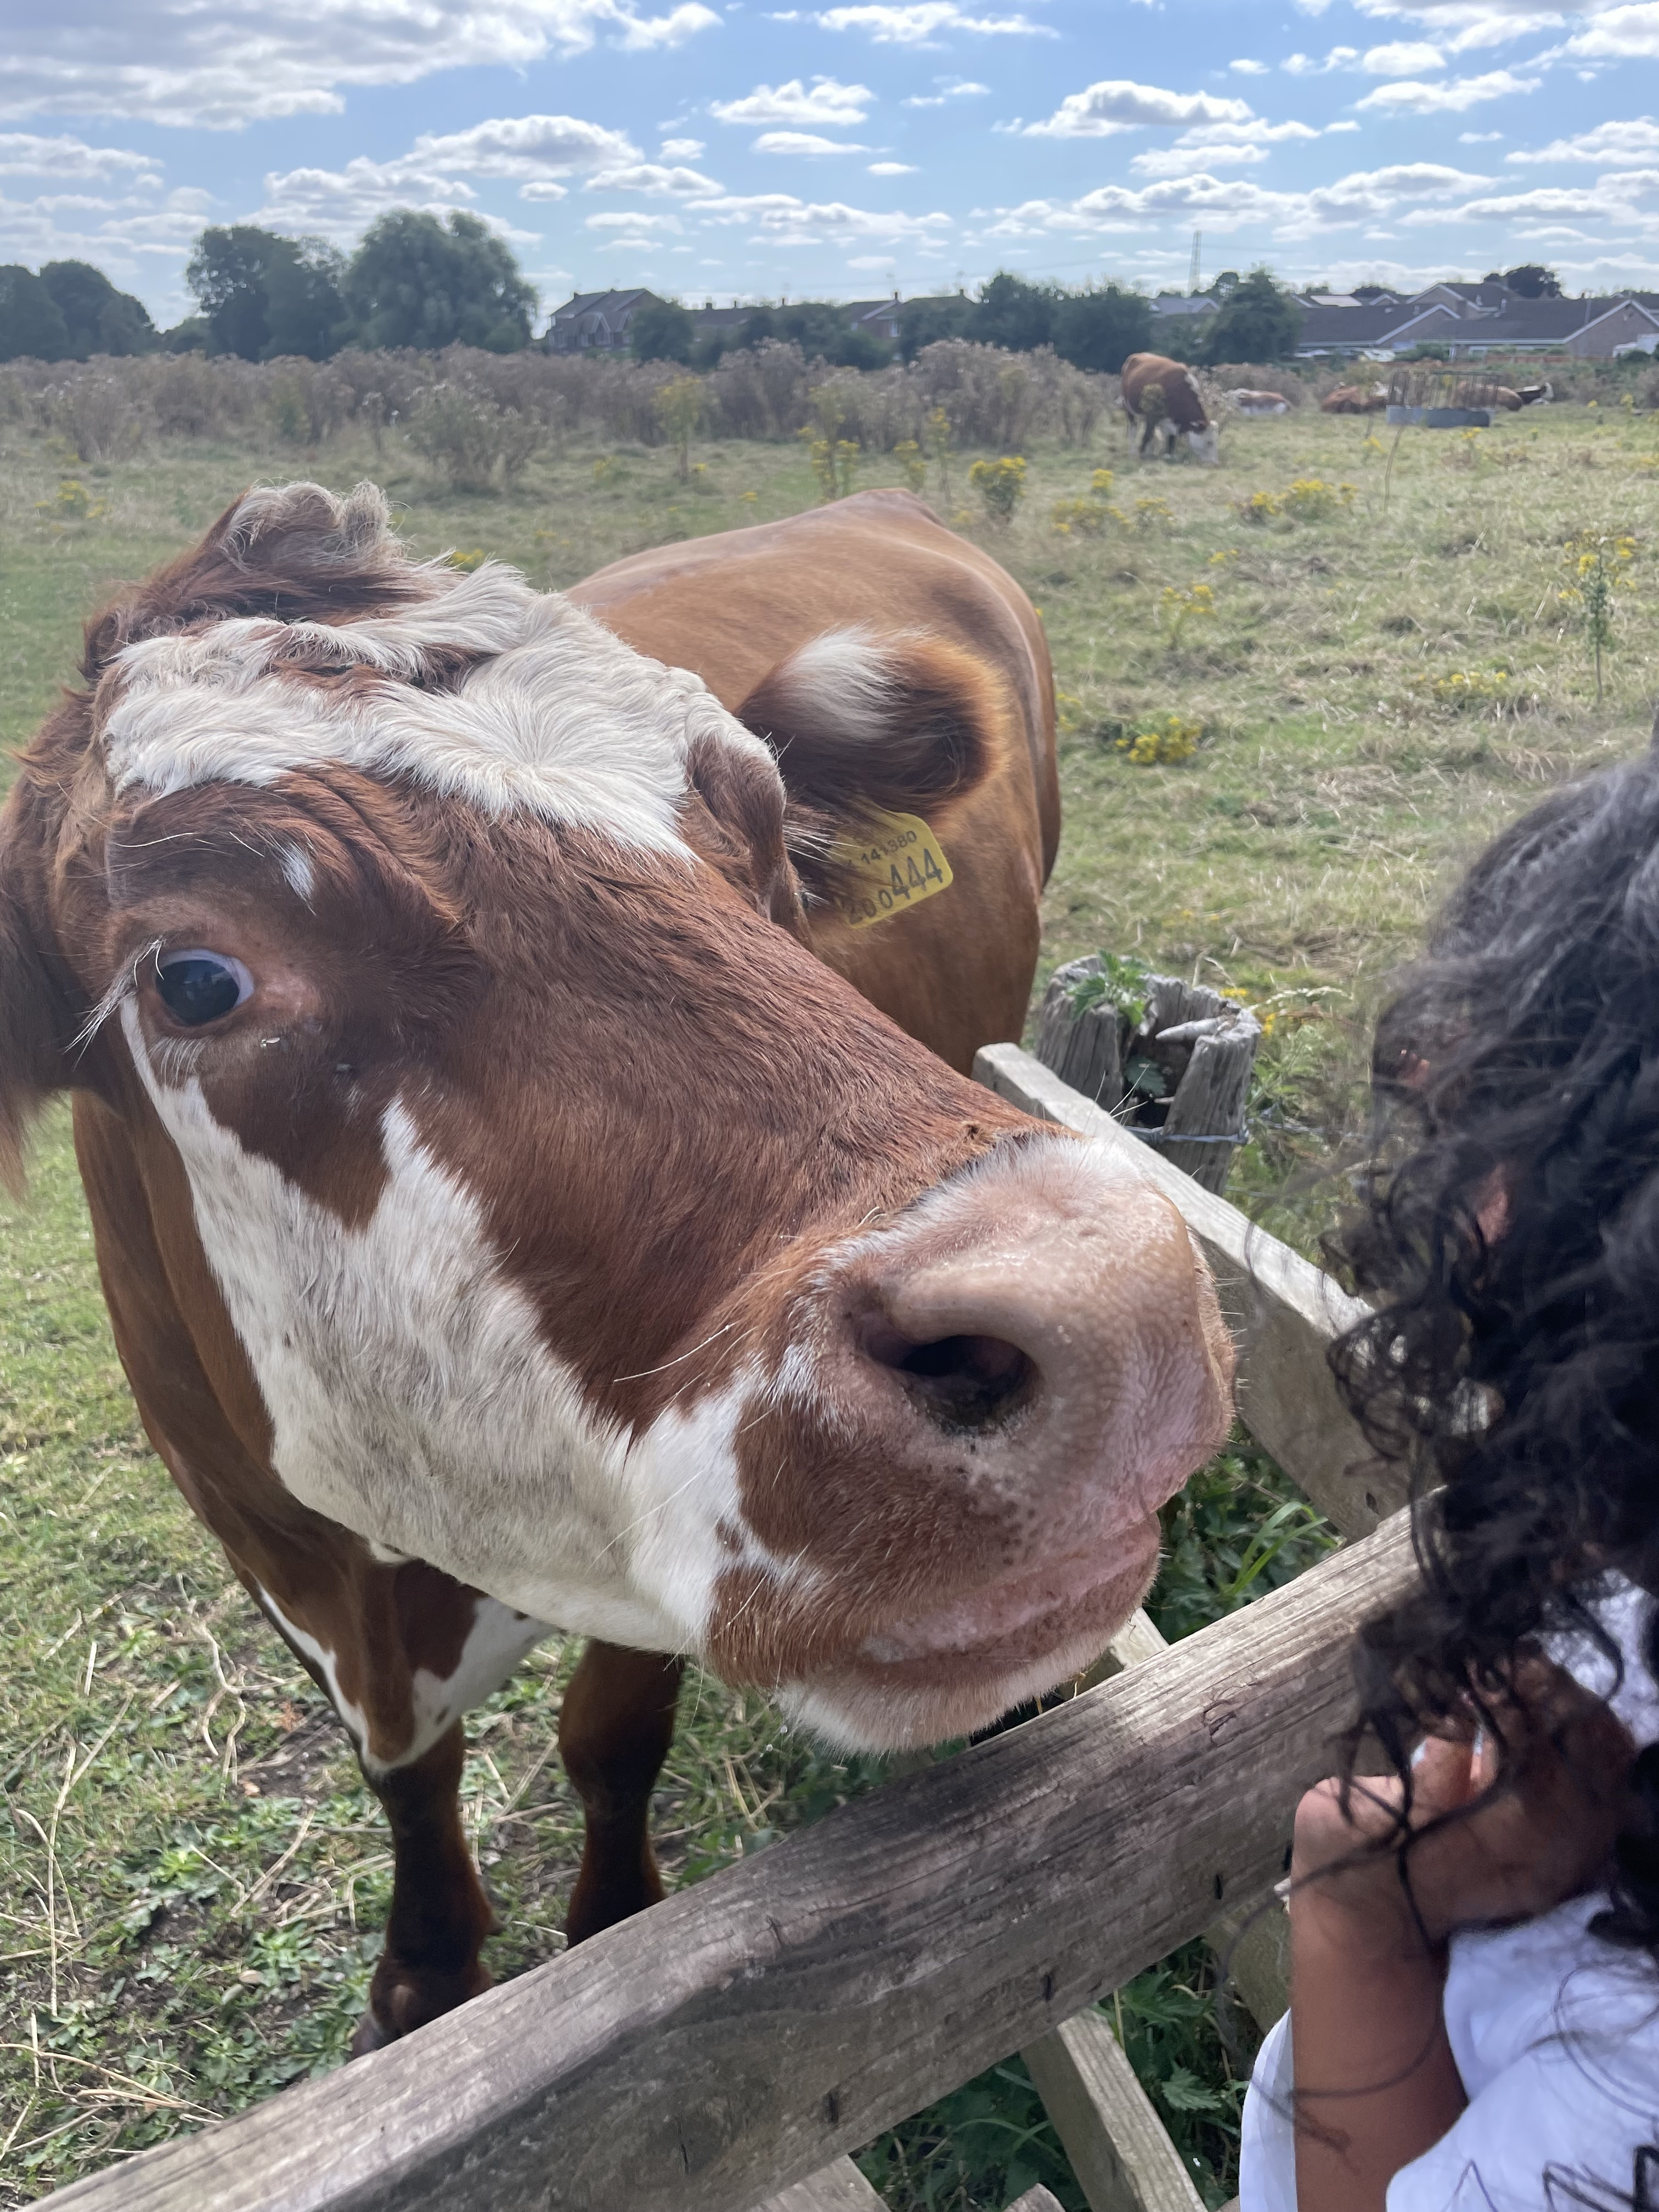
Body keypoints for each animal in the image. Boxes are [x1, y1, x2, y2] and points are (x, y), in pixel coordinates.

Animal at [0, 481, 1234, 2053]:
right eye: (194, 978)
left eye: (768, 851)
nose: (1111, 1307)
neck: (398, 1581)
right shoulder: (265, 1545)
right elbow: (412, 1787)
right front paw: (423, 1976)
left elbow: (609, 1739)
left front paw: (611, 1925)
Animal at [1120, 353, 1220, 464]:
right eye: (1209, 442)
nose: (1215, 463)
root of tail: (1137, 355)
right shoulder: (1152, 416)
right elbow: (1147, 435)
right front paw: (1141, 455)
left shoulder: (1172, 422)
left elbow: (1171, 438)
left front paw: (1168, 456)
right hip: (1129, 409)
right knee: (1133, 430)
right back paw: (1133, 452)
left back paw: (1150, 452)